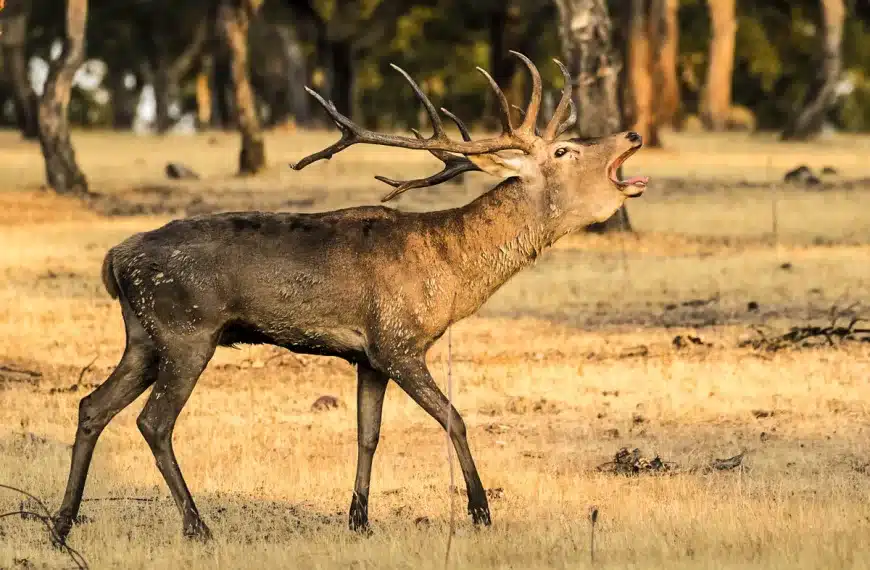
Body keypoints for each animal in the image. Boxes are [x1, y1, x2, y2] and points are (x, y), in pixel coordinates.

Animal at [52, 51, 648, 544]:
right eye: (565, 149)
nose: (633, 135)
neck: (452, 275)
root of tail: (115, 259)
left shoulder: (369, 357)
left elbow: (368, 434)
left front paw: (358, 520)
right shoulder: (399, 342)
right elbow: (453, 417)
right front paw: (481, 512)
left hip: (143, 337)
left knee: (91, 405)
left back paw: (61, 526)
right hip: (187, 330)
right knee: (153, 422)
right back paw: (197, 527)